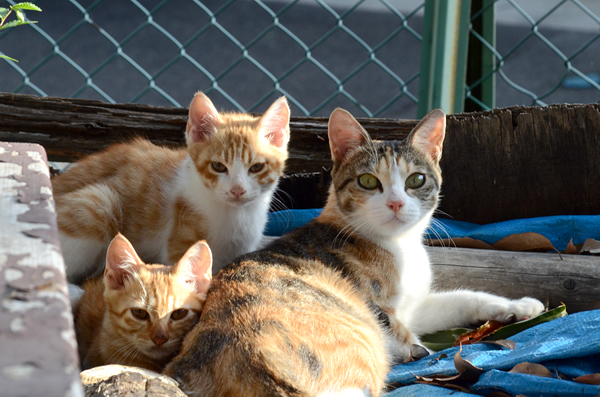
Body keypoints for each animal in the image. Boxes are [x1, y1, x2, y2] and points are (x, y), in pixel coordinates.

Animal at [54, 91, 290, 284]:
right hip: (100, 201)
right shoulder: (178, 243)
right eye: (218, 166)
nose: (237, 190)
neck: (235, 216)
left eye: (257, 167)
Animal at [163, 106, 544, 394]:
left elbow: (464, 298)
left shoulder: (416, 306)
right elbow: (401, 330)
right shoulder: (383, 311)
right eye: (368, 181)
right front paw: (415, 349)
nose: (395, 203)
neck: (400, 247)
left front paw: (521, 306)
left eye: (416, 180)